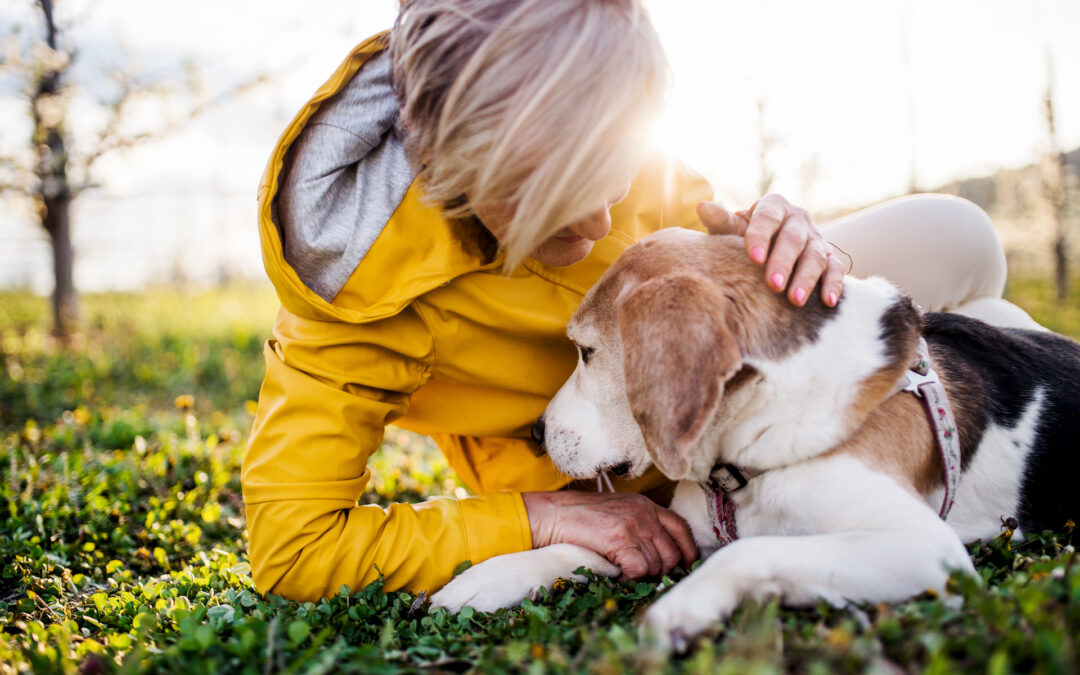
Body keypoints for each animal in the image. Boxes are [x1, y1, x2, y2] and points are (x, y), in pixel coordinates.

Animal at [432, 227, 1080, 648]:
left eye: (586, 351)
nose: (536, 432)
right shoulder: (685, 528)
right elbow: (577, 548)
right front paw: (484, 580)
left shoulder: (925, 549)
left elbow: (750, 548)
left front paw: (685, 606)